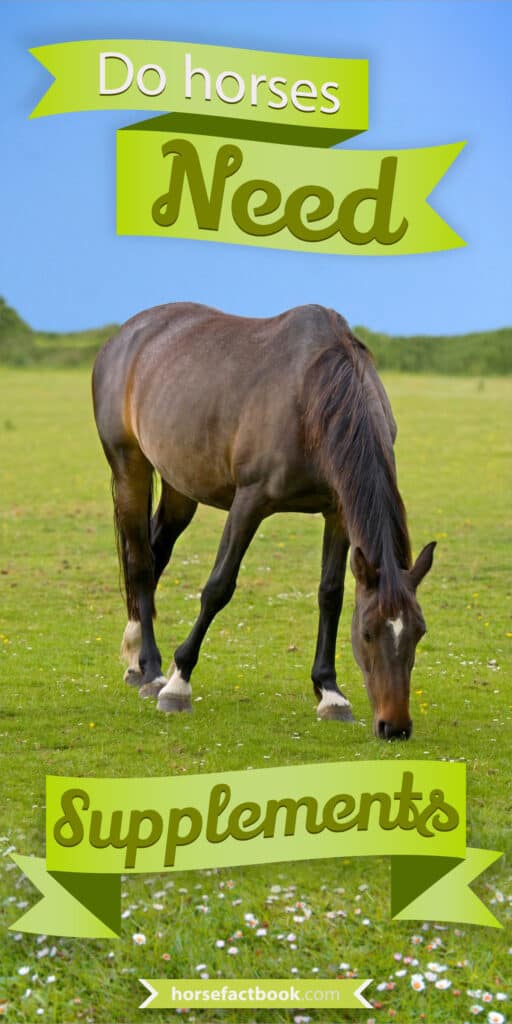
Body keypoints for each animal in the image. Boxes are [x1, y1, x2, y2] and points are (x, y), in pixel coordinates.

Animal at [92, 302, 435, 740]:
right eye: (368, 632)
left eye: (419, 631)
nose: (395, 726)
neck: (312, 396)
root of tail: (125, 335)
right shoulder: (249, 502)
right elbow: (218, 587)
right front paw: (179, 683)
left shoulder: (338, 511)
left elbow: (330, 594)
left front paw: (330, 693)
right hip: (129, 466)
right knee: (139, 561)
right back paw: (152, 671)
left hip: (180, 486)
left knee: (156, 555)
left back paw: (137, 661)